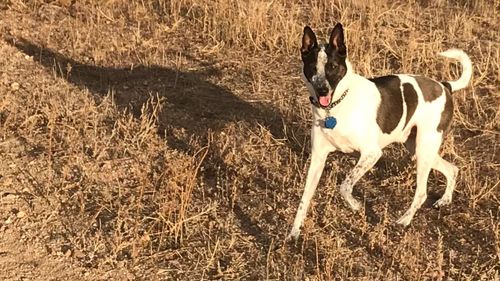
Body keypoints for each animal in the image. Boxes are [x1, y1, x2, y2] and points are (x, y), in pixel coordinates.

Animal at [288, 22, 470, 238]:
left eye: (332, 66)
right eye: (312, 68)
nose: (322, 89)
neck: (335, 107)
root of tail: (445, 86)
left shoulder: (372, 153)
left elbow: (345, 186)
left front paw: (355, 205)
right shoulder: (317, 158)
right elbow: (304, 199)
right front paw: (294, 231)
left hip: (424, 149)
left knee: (422, 192)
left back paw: (404, 220)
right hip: (417, 149)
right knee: (452, 169)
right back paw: (444, 200)